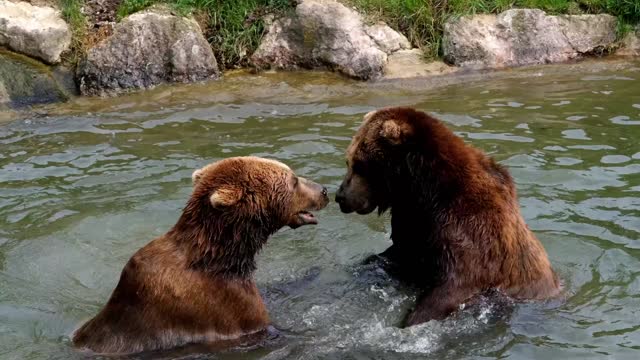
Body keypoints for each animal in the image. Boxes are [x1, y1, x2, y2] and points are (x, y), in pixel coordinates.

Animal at [336, 107, 560, 326]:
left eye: (359, 165)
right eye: (348, 161)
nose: (340, 196)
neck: (420, 190)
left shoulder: (469, 230)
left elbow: (453, 285)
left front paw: (414, 318)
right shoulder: (412, 224)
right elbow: (395, 254)